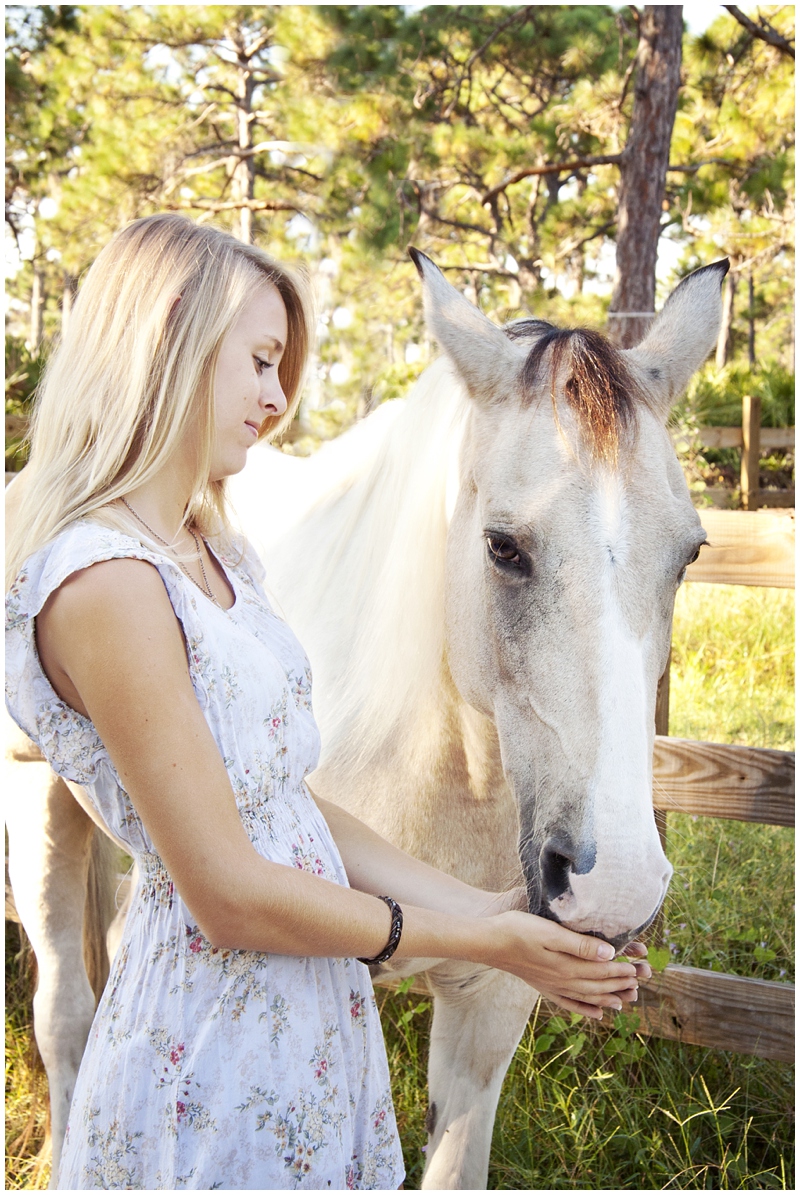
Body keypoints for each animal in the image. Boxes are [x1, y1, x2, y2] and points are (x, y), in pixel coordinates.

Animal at [4, 252, 722, 1185]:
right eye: (503, 546)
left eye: (690, 553)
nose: (616, 887)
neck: (443, 766)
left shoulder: (490, 1006)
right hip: (40, 819)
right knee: (66, 1016)